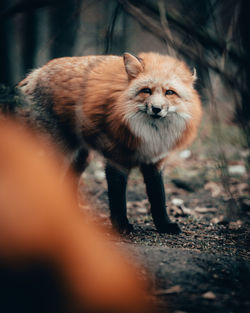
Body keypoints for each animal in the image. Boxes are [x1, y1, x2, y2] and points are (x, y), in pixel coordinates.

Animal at [18, 52, 202, 233]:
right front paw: (121, 226)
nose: (156, 109)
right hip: (57, 155)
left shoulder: (154, 163)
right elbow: (117, 199)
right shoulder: (116, 160)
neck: (150, 134)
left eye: (169, 92)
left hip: (81, 159)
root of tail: (36, 72)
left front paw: (164, 225)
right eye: (146, 91)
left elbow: (158, 198)